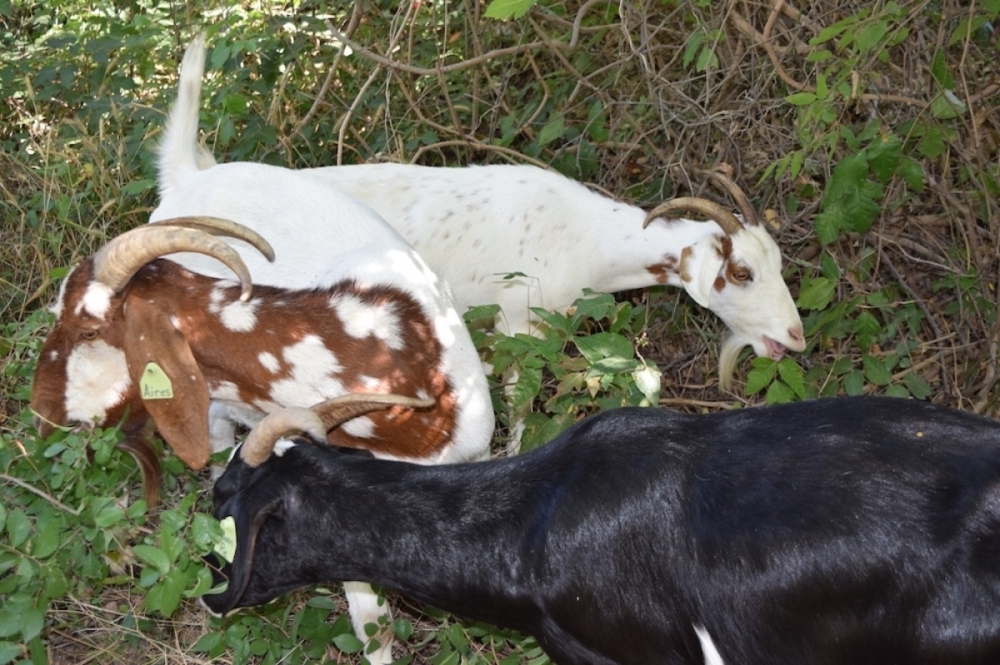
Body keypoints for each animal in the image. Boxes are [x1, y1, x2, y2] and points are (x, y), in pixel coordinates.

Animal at [158, 37, 805, 390]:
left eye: (777, 264)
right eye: (740, 272)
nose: (796, 338)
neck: (586, 238)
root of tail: (188, 178)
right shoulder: (519, 320)